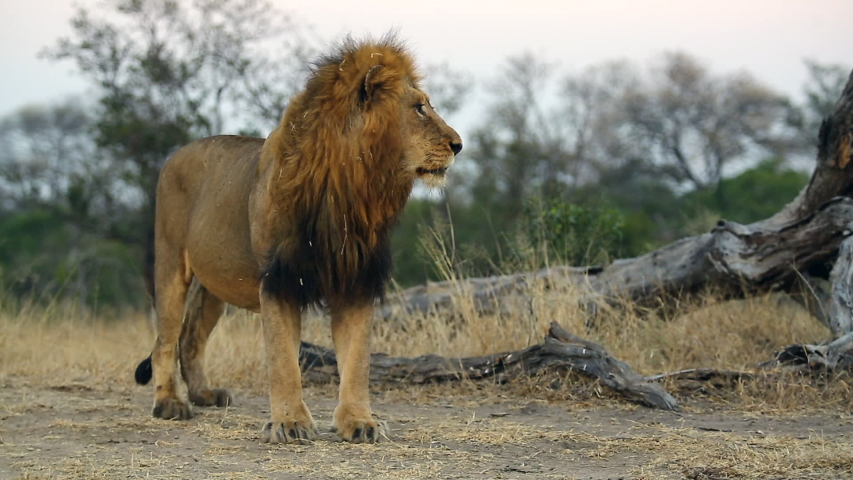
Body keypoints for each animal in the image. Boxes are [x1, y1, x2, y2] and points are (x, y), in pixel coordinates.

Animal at [133, 35, 462, 444]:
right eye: (418, 108)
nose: (459, 145)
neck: (352, 188)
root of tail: (175, 153)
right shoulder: (280, 280)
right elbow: (283, 361)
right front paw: (289, 423)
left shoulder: (356, 280)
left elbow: (357, 362)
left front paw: (360, 421)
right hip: (171, 263)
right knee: (164, 340)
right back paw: (170, 403)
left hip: (215, 284)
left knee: (191, 336)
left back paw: (204, 394)